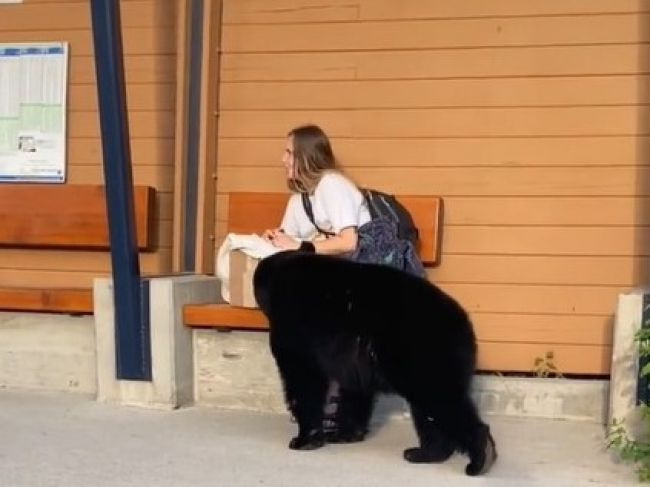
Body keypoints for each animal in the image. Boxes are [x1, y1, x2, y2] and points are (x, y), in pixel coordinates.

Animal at [253, 252, 496, 476]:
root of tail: (465, 325)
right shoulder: (354, 356)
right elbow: (354, 388)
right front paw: (345, 434)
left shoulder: (293, 323)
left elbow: (303, 377)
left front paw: (304, 439)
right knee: (428, 410)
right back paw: (425, 453)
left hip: (422, 352)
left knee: (439, 398)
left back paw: (480, 456)